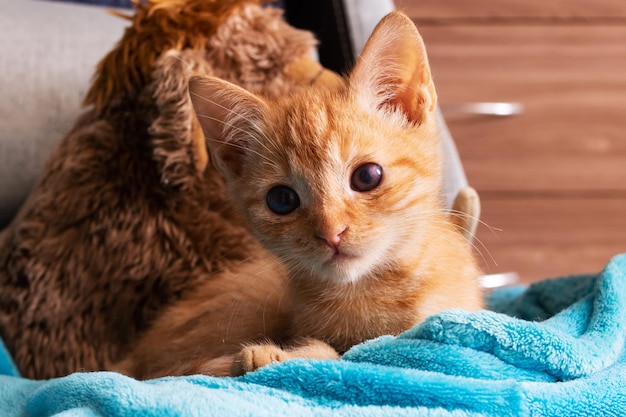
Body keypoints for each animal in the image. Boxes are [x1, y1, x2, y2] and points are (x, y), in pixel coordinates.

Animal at [183, 11, 480, 374]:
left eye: (367, 176)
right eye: (282, 200)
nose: (331, 233)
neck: (368, 291)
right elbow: (337, 354)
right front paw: (271, 354)